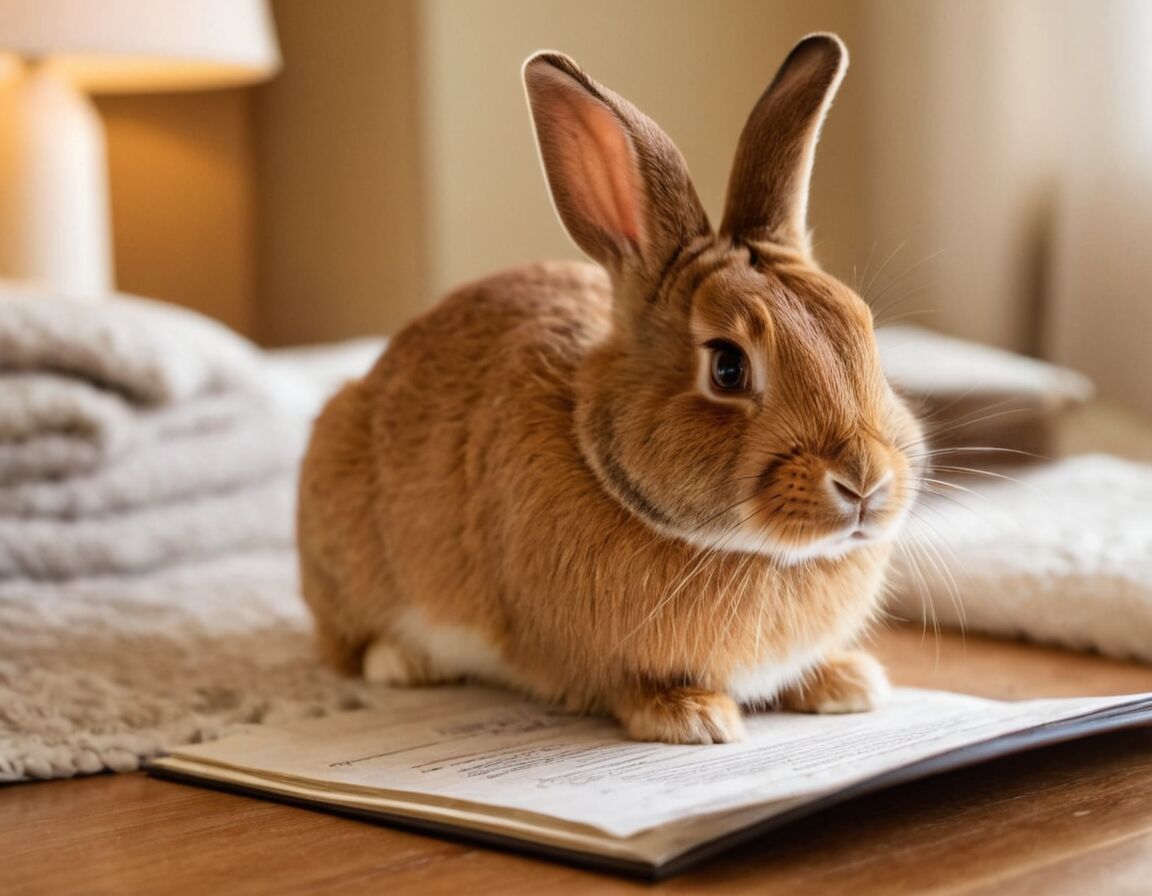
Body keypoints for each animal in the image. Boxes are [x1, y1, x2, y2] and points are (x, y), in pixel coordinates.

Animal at [297, 33, 925, 744]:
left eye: (864, 331)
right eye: (728, 368)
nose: (866, 483)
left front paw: (847, 684)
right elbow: (628, 685)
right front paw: (696, 719)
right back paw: (401, 662)